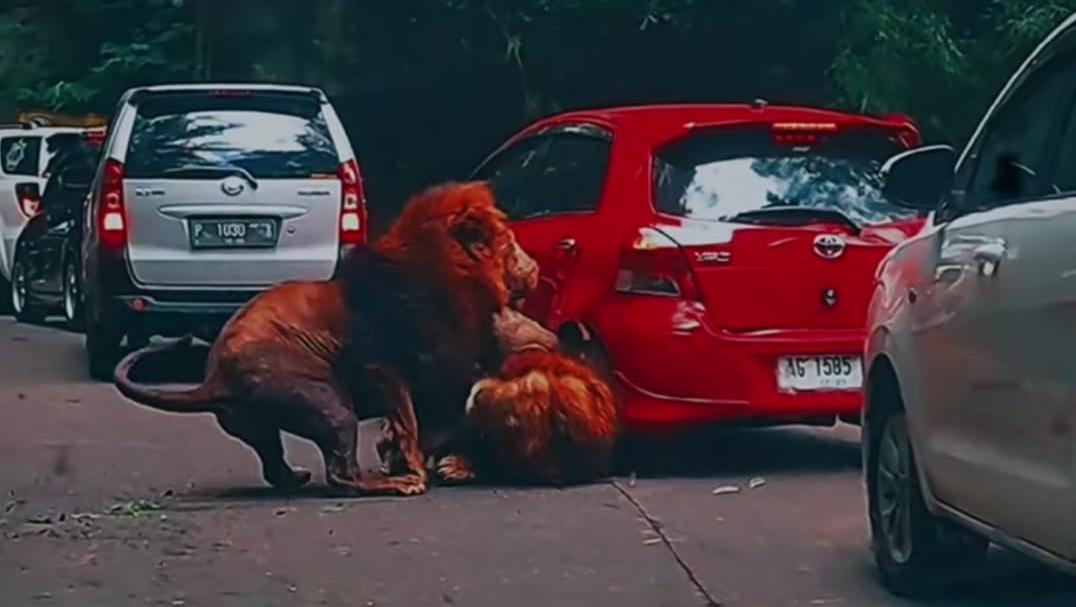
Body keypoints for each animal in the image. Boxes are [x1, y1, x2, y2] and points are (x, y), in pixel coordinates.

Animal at [113, 182, 538, 495]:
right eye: (509, 241)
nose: (535, 267)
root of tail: (216, 378)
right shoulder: (386, 370)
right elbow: (409, 423)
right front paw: (415, 469)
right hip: (331, 405)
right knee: (341, 475)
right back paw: (397, 484)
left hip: (255, 425)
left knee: (273, 464)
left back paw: (295, 479)